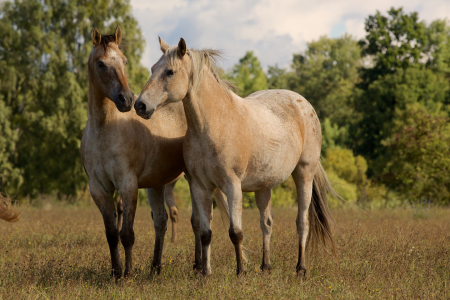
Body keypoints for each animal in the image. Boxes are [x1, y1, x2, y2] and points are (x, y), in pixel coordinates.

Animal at [81, 27, 190, 278]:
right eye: (100, 63)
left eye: (124, 60)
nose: (127, 99)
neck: (104, 130)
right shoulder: (98, 189)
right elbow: (112, 234)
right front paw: (115, 272)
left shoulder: (128, 184)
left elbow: (127, 235)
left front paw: (128, 274)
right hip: (157, 184)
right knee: (161, 221)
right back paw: (155, 268)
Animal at [134, 38, 338, 278]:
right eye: (152, 69)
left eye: (170, 71)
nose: (140, 105)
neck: (212, 125)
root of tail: (304, 104)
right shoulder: (200, 186)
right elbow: (205, 232)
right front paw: (205, 272)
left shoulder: (233, 186)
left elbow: (236, 232)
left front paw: (240, 271)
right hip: (264, 186)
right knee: (266, 223)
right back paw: (265, 266)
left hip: (304, 174)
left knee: (302, 222)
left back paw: (300, 268)